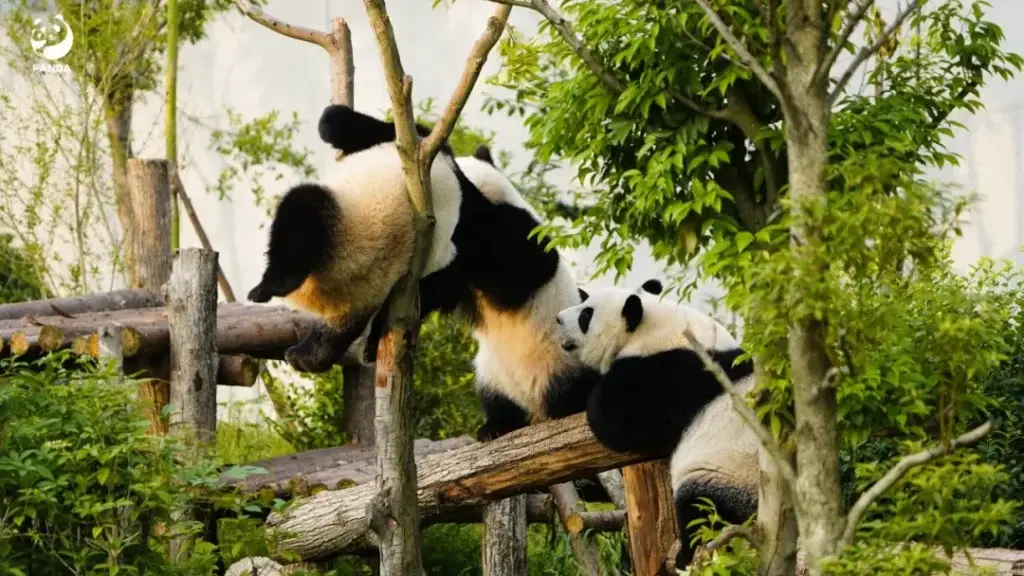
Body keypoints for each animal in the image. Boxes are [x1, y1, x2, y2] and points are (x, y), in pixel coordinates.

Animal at [250, 104, 600, 441]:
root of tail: (538, 408)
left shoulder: (507, 242)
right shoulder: (458, 266)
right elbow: (434, 289)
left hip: (564, 359)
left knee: (302, 210)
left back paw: (273, 286)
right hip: (492, 373)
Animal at [554, 280, 758, 568]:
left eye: (586, 314)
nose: (558, 318)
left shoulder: (668, 374)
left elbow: (618, 421)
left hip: (728, 474)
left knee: (704, 511)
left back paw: (686, 556)